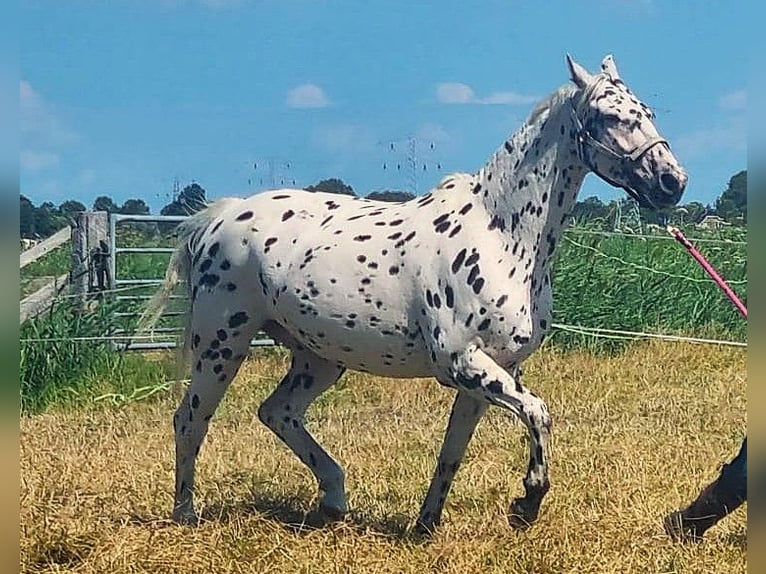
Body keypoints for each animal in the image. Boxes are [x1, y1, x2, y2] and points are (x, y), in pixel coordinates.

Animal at [142, 54, 687, 534]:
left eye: (647, 111)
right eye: (608, 116)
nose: (672, 182)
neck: (502, 235)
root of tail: (222, 216)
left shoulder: (494, 372)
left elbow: (452, 452)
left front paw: (427, 524)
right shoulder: (463, 363)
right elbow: (537, 413)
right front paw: (527, 503)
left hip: (318, 358)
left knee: (278, 413)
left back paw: (334, 500)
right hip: (222, 345)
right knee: (191, 419)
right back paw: (186, 514)